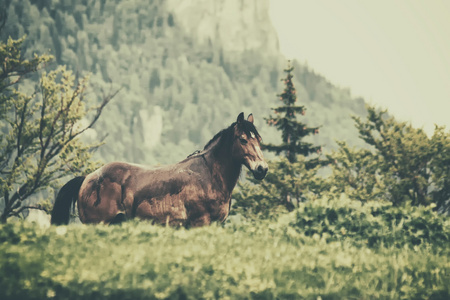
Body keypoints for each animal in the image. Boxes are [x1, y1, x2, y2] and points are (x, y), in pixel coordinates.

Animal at [50, 112, 268, 227]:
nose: (262, 169)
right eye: (243, 139)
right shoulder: (200, 224)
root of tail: (88, 178)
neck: (208, 176)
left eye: (259, 139)